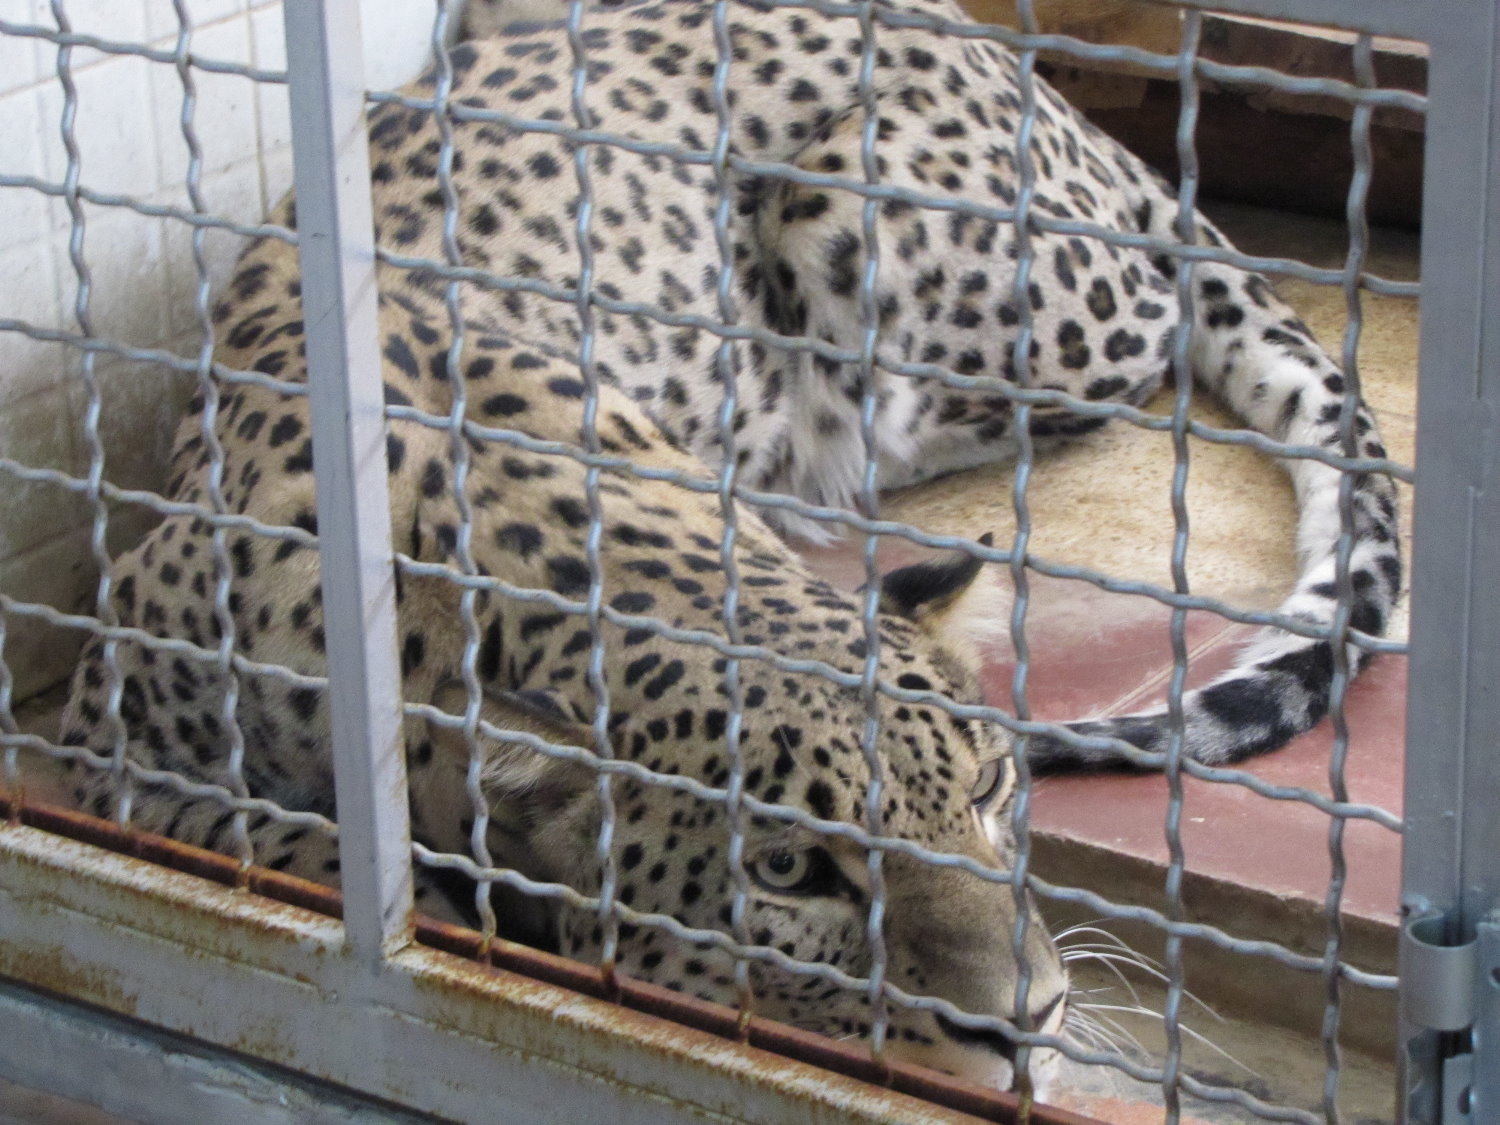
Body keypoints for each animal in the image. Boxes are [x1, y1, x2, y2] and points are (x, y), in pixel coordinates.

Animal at [54, 0, 1401, 1096]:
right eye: (794, 875)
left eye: (986, 791)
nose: (1032, 1021)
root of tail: (1063, 104)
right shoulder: (97, 746)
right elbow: (285, 840)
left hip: (883, 223)